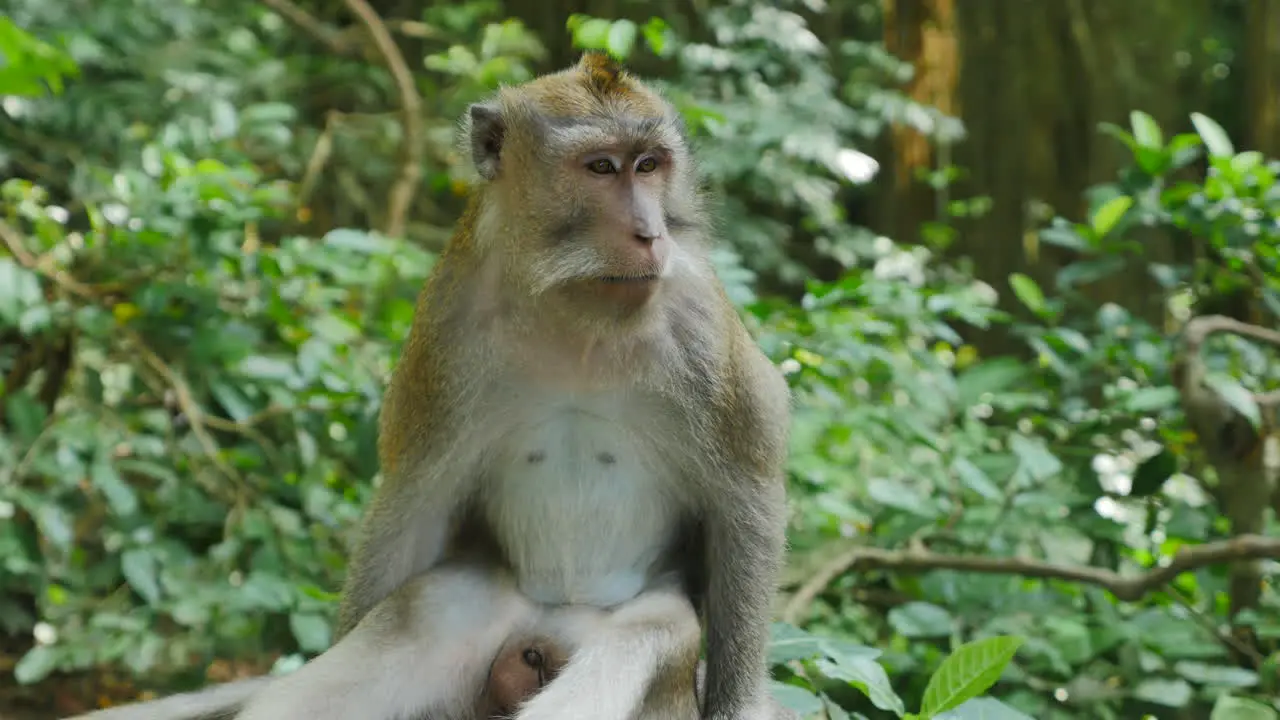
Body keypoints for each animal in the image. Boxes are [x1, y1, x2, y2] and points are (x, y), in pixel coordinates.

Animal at [330, 50, 793, 717]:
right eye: (601, 167)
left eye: (649, 165)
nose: (650, 233)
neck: (577, 315)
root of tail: (544, 634)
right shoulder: (445, 333)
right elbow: (417, 499)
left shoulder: (702, 331)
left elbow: (745, 496)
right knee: (425, 609)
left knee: (638, 644)